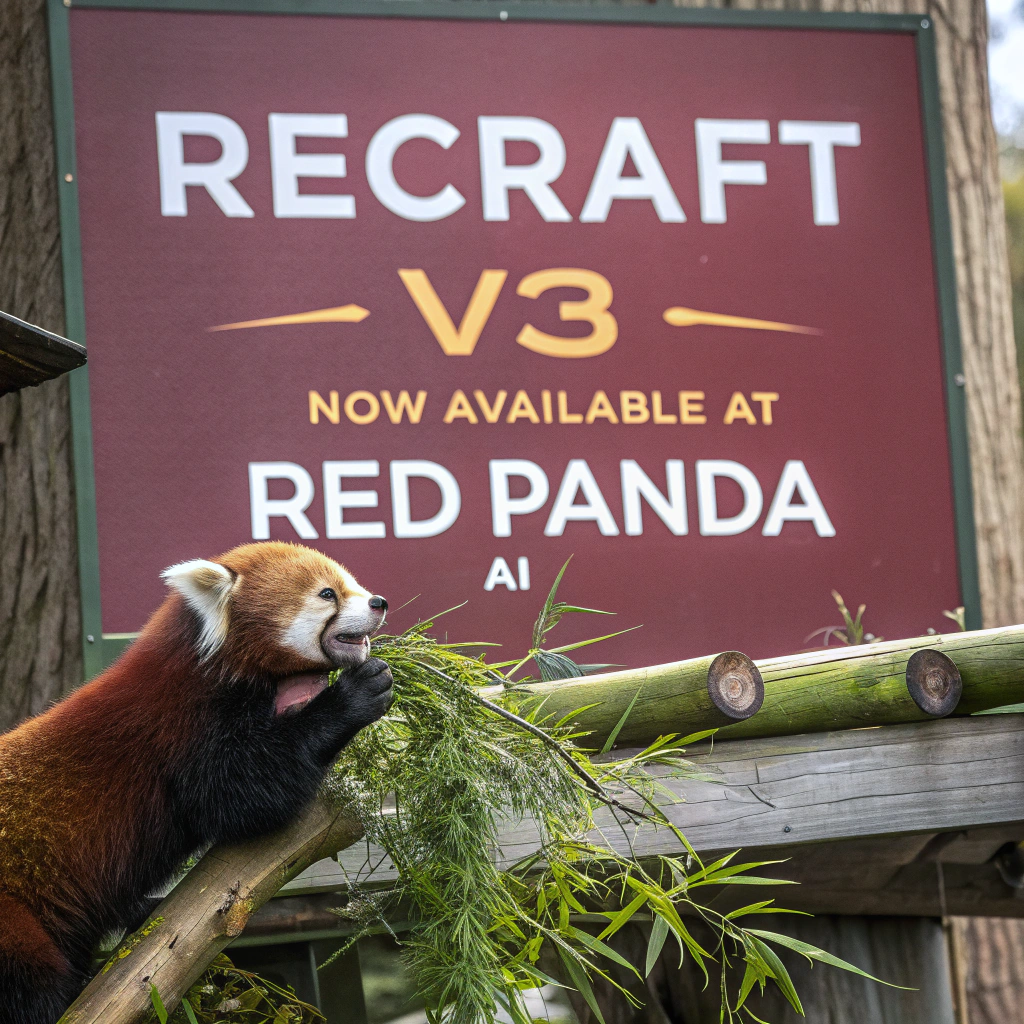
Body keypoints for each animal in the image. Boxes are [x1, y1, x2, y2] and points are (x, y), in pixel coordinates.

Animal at [0, 541, 393, 1024]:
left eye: (353, 584)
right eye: (327, 594)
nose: (379, 602)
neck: (212, 662)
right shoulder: (182, 725)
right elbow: (239, 795)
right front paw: (353, 697)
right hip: (12, 919)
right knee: (31, 985)